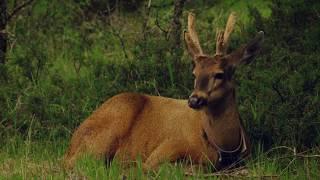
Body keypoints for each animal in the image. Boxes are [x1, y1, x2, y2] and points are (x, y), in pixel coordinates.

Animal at [62, 12, 262, 172]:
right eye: (194, 73)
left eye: (219, 74)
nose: (194, 100)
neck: (224, 146)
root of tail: (70, 144)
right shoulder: (166, 147)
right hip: (105, 132)